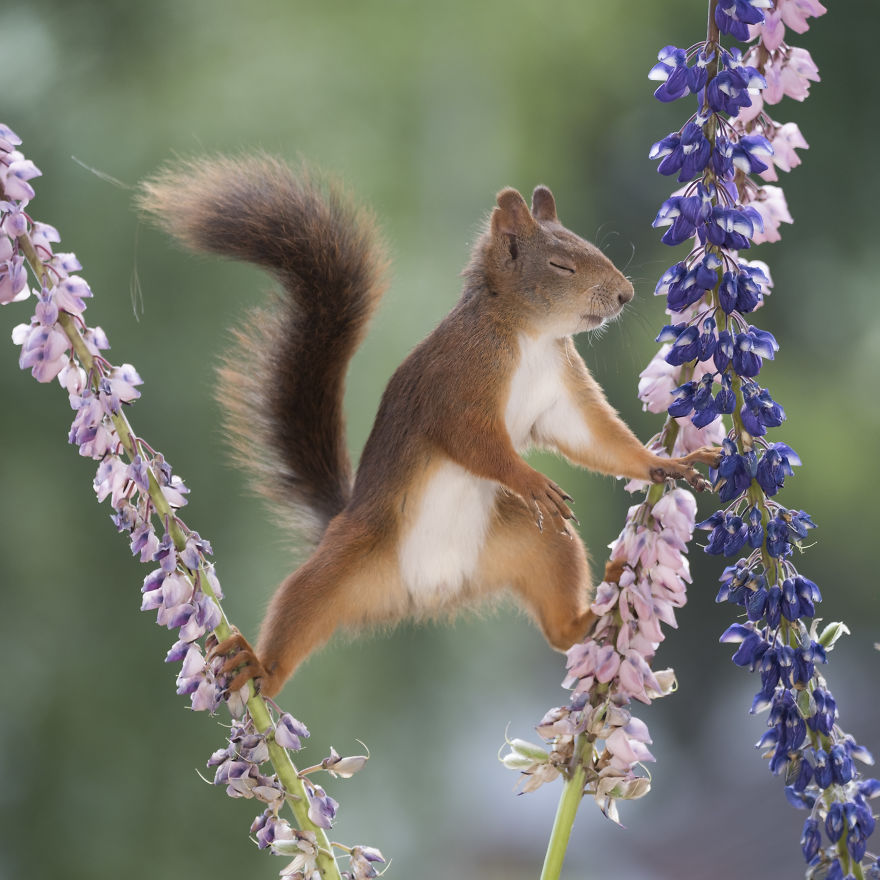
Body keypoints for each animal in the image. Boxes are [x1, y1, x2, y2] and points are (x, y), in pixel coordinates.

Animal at [138, 155, 718, 697]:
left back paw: (596, 609)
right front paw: (531, 480)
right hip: (345, 558)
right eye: (561, 265)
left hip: (534, 544)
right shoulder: (455, 390)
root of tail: (425, 594)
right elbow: (476, 443)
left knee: (557, 627)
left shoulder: (563, 394)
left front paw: (666, 463)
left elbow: (599, 440)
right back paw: (258, 666)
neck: (529, 335)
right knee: (299, 607)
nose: (624, 294)